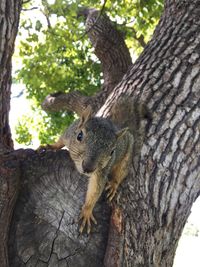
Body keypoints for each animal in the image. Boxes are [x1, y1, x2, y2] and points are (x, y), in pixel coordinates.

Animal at [41, 98, 151, 234]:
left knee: (120, 174)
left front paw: (87, 211)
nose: (88, 168)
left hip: (126, 158)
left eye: (112, 152)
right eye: (79, 136)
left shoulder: (101, 172)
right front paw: (50, 147)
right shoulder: (69, 133)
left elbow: (95, 189)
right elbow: (60, 141)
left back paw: (113, 185)